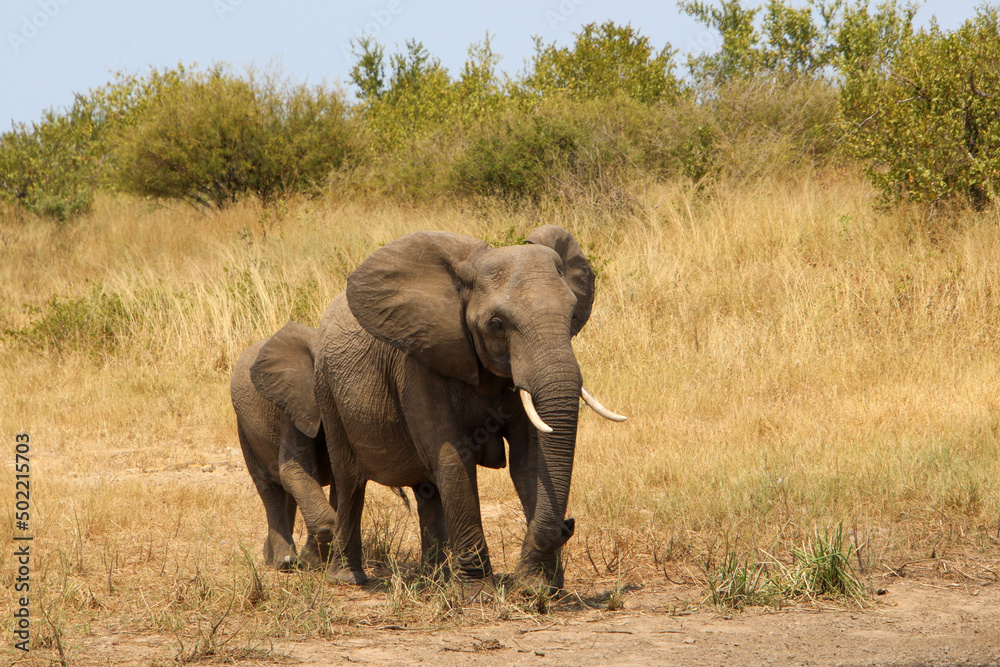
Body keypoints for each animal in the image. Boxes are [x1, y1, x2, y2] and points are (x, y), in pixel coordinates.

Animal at [250, 226, 624, 596]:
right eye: (497, 324)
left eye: (572, 314)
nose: (567, 525)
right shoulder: (416, 364)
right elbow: (452, 457)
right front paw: (479, 594)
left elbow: (529, 460)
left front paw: (537, 587)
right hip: (327, 389)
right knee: (349, 478)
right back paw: (348, 579)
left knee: (426, 489)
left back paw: (435, 579)